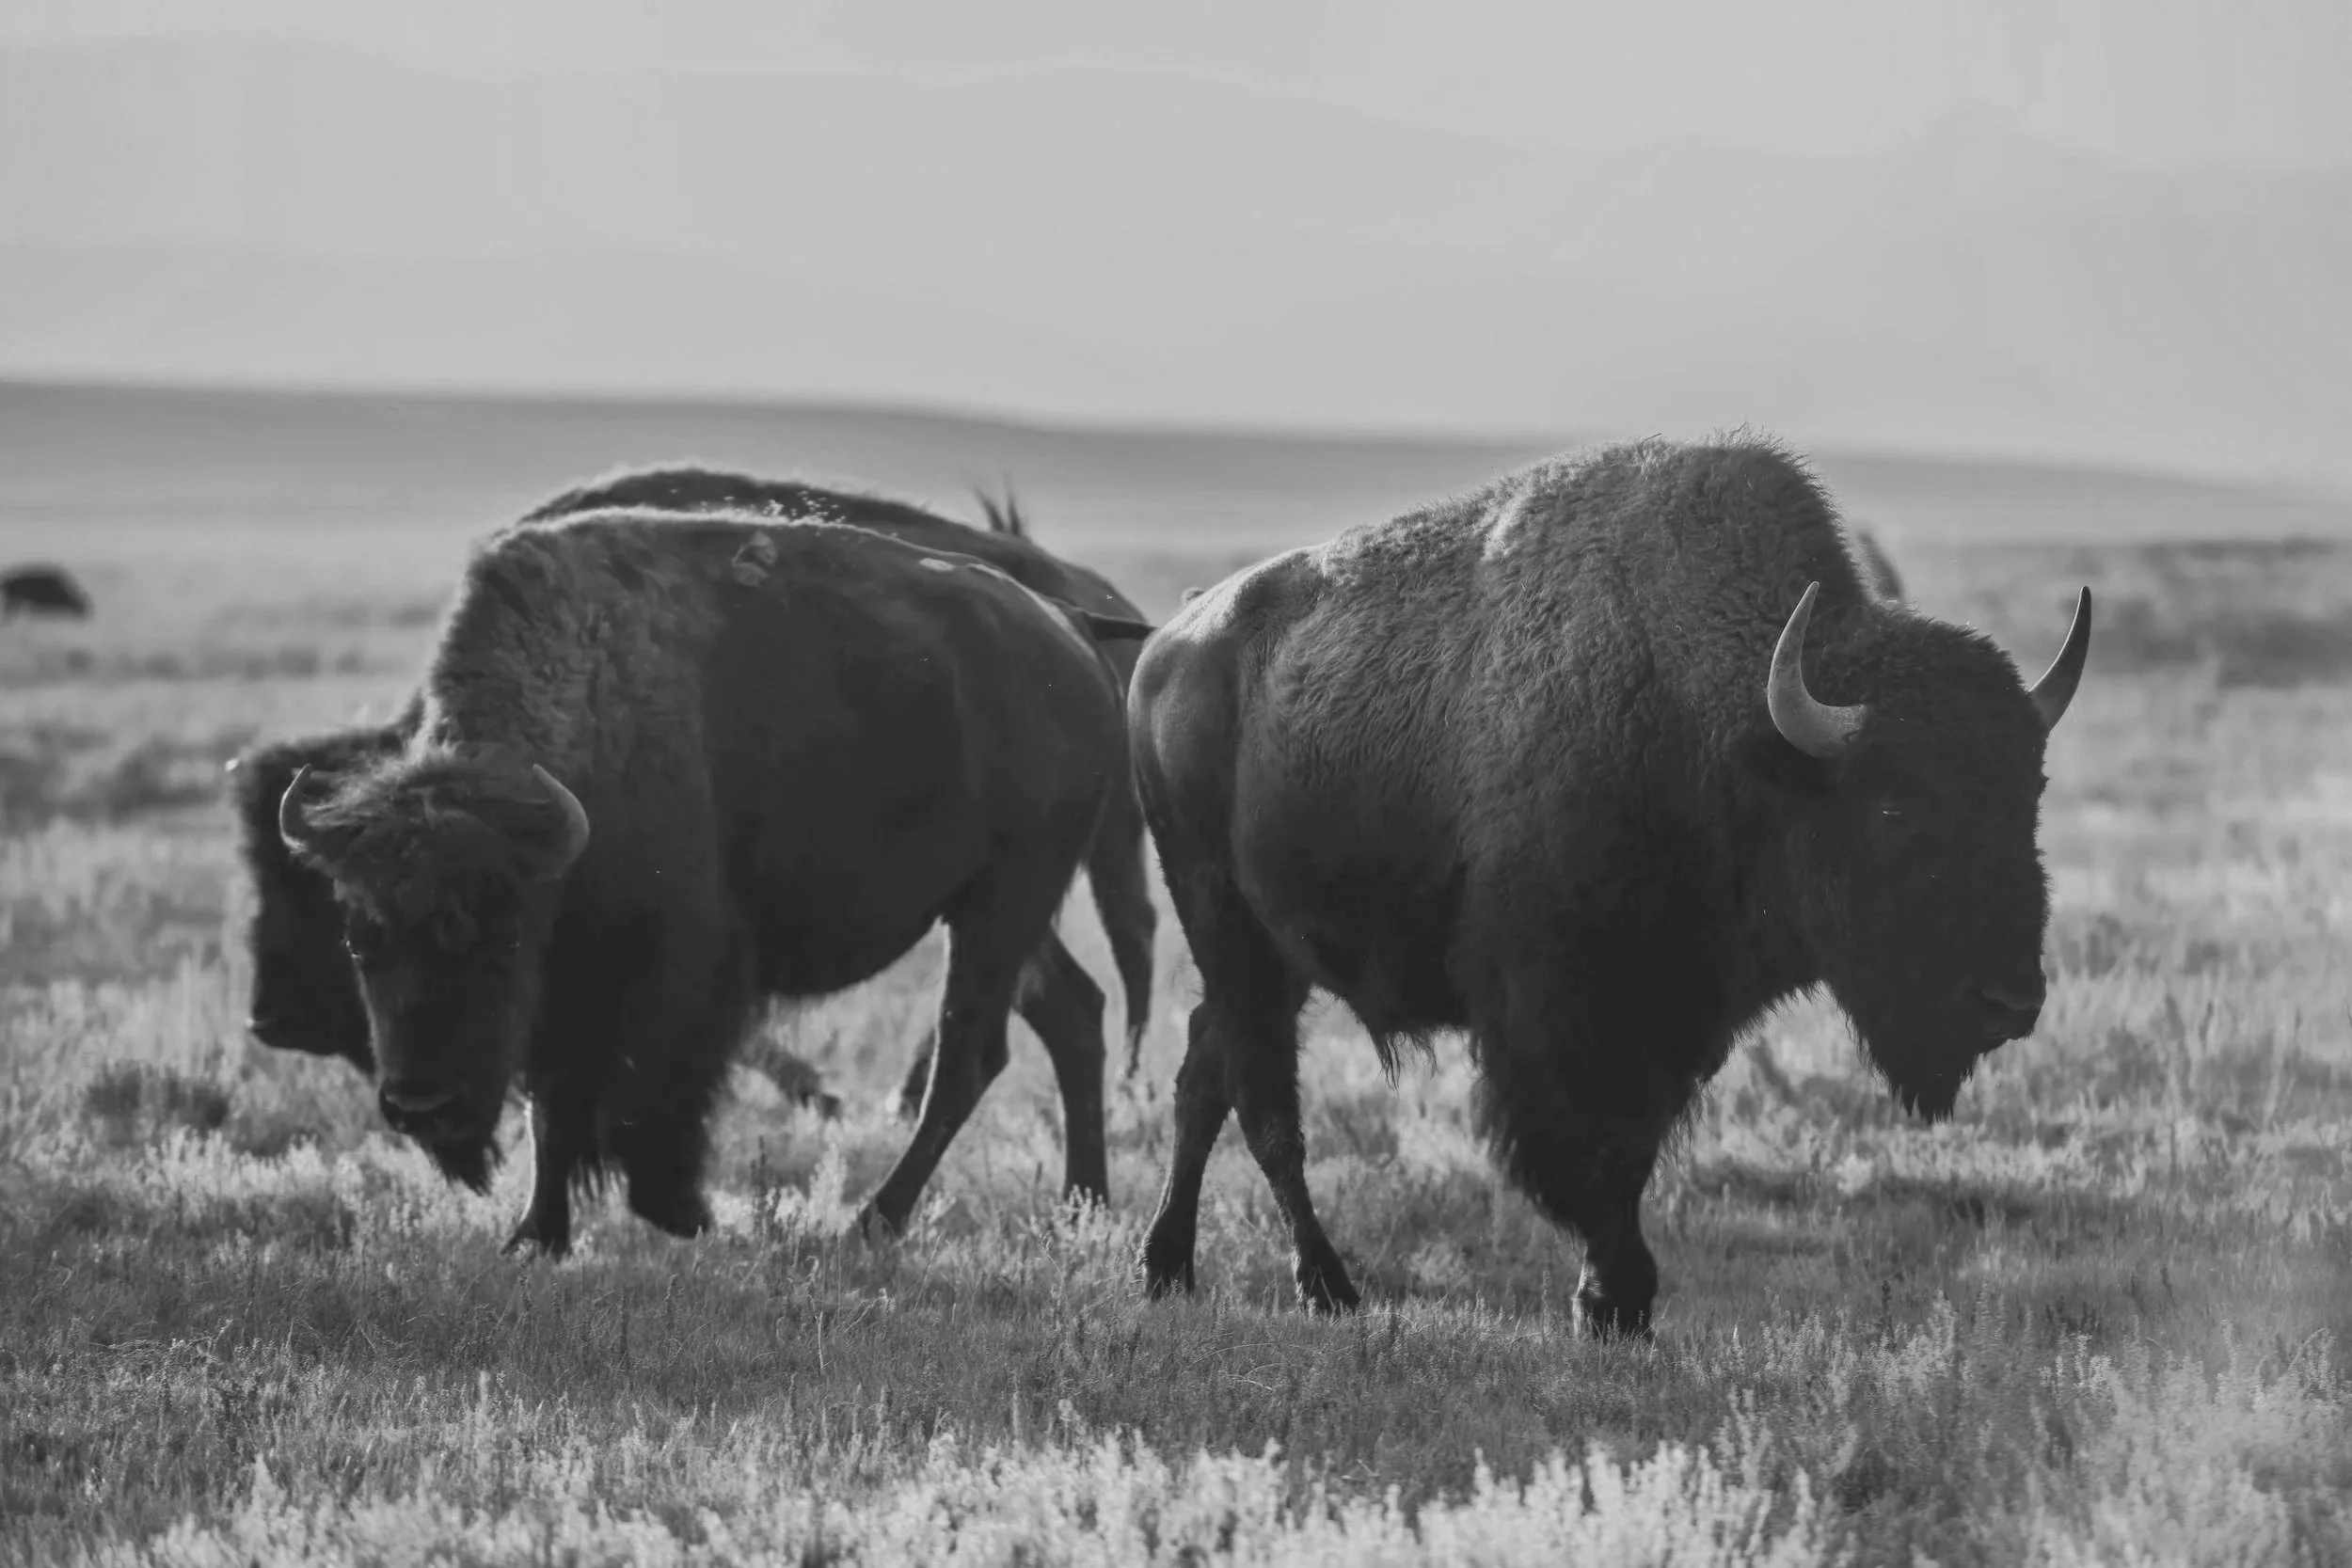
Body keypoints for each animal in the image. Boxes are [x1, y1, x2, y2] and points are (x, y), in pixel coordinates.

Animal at [272, 509, 1146, 1254]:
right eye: (359, 940)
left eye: (501, 937)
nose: (420, 1105)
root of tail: (1072, 627)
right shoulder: (568, 991)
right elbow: (551, 1106)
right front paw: (535, 1236)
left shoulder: (681, 968)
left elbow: (650, 1093)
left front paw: (680, 1212)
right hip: (996, 912)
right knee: (1071, 1014)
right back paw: (1082, 1205)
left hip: (1005, 900)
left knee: (969, 1053)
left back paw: (872, 1223)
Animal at [1128, 436, 2089, 1334]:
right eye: (1892, 807)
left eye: (2030, 794)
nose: (2009, 1002)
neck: (1719, 725)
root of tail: (1163, 648)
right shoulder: (1563, 1016)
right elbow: (1591, 1151)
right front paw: (1616, 1298)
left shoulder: (1674, 1015)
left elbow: (1631, 1150)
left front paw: (1613, 1301)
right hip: (1225, 927)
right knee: (1263, 1104)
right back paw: (1324, 1285)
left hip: (1269, 958)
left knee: (1206, 1076)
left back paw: (1167, 1266)